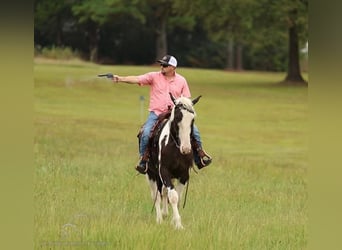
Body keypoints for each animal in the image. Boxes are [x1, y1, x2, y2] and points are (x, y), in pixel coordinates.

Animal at [144, 93, 200, 229]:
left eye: (193, 119)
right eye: (177, 118)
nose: (186, 148)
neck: (175, 148)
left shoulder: (184, 175)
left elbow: (177, 197)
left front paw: (174, 222)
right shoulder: (164, 172)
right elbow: (173, 196)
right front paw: (178, 225)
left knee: (164, 192)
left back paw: (164, 214)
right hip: (151, 175)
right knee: (156, 195)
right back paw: (159, 218)